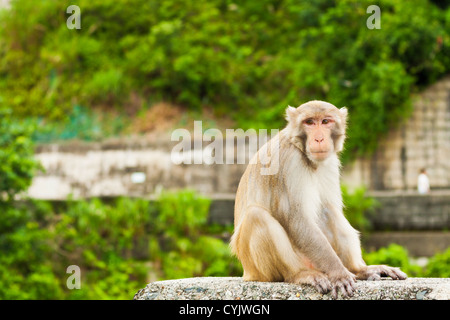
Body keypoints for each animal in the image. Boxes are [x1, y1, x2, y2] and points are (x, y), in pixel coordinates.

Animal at [230, 100, 406, 298]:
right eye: (309, 122)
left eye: (325, 121)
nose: (319, 138)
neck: (302, 151)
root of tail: (246, 273)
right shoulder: (288, 162)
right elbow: (296, 219)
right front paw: (338, 273)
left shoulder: (330, 163)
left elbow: (326, 209)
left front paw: (351, 270)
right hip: (260, 269)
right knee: (256, 216)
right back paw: (300, 274)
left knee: (329, 212)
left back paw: (358, 269)